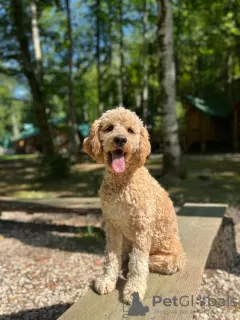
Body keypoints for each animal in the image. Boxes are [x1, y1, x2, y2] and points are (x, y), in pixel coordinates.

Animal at [83, 107, 187, 302]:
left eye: (131, 131)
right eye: (109, 128)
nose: (120, 139)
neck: (122, 184)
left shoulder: (142, 229)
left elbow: (138, 263)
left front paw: (134, 289)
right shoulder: (112, 225)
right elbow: (111, 257)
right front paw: (107, 280)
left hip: (168, 258)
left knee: (148, 262)